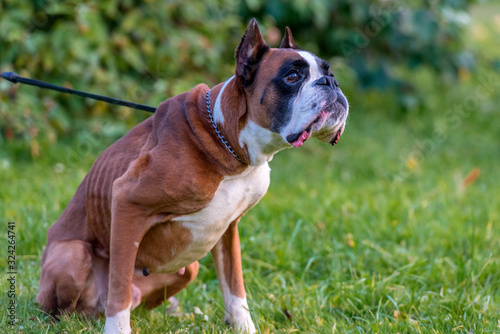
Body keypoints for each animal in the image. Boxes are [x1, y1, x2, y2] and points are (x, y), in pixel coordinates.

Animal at [36, 19, 348, 332]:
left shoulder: (228, 231)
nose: (330, 83)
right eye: (292, 76)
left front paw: (243, 325)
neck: (228, 146)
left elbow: (234, 287)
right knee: (73, 308)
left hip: (189, 269)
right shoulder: (126, 201)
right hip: (73, 255)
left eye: (328, 73)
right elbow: (119, 287)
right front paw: (118, 329)